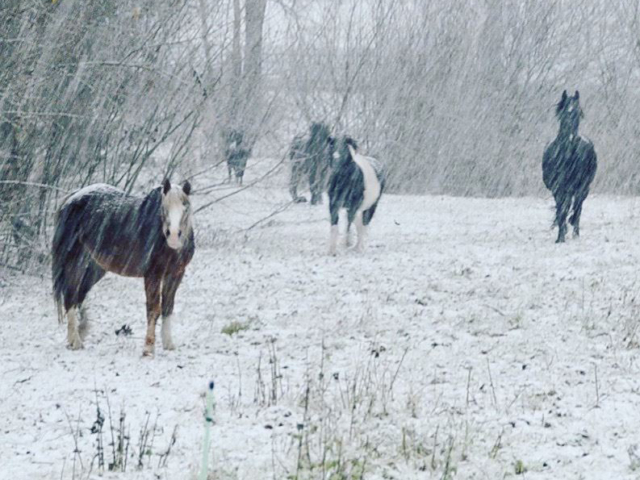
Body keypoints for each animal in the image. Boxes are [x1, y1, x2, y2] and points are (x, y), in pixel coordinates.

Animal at [52, 180, 194, 356]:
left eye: (185, 207)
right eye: (164, 208)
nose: (173, 236)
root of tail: (72, 198)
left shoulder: (175, 275)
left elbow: (168, 307)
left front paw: (168, 344)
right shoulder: (153, 275)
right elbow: (153, 309)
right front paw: (148, 349)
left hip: (95, 267)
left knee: (79, 294)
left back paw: (79, 333)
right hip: (75, 261)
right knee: (71, 295)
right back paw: (76, 341)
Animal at [544, 88, 596, 242]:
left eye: (578, 112)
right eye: (565, 111)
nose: (572, 138)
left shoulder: (581, 186)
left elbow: (575, 208)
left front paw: (570, 228)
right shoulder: (557, 188)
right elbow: (561, 210)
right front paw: (560, 237)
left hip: (583, 188)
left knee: (578, 206)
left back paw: (575, 231)